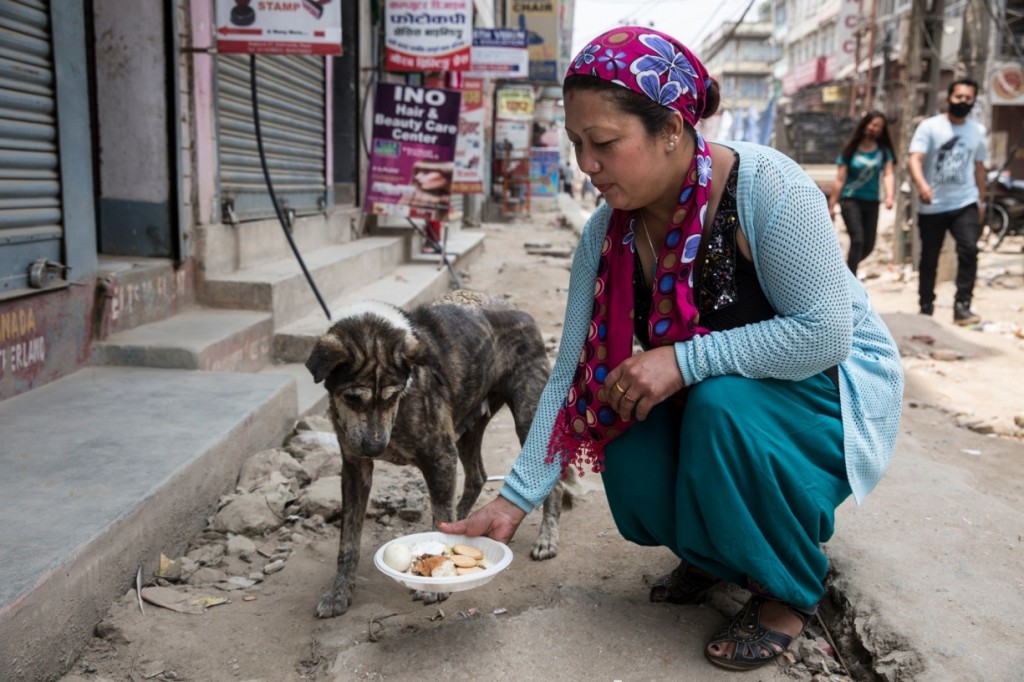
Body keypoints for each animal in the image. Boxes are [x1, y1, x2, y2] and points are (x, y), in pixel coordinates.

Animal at [303, 286, 577, 614]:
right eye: (352, 398)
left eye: (392, 395)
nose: (375, 447)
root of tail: (519, 311)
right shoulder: (356, 467)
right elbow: (348, 541)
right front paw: (339, 592)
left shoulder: (439, 456)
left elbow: (438, 517)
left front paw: (436, 586)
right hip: (468, 426)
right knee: (477, 475)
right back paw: (463, 520)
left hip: (530, 414)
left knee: (552, 482)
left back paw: (546, 539)